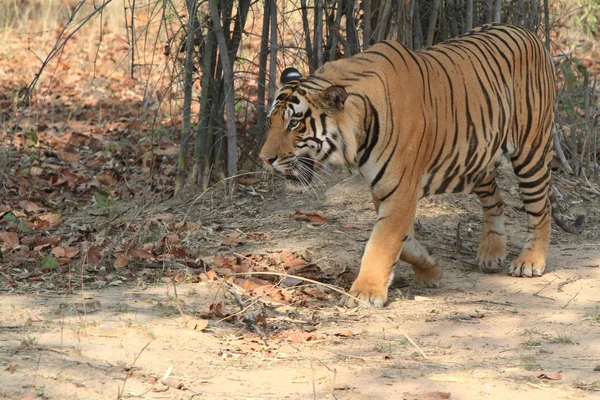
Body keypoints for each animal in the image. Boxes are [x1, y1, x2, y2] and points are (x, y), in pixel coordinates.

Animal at [260, 23, 584, 308]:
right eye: (271, 121)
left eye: (294, 124)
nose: (265, 158)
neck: (359, 129)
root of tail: (529, 32)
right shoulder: (383, 189)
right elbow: (401, 243)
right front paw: (430, 268)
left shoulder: (400, 189)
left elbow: (381, 244)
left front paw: (364, 294)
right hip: (476, 155)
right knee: (496, 200)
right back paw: (491, 252)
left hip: (531, 150)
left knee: (540, 207)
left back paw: (530, 261)